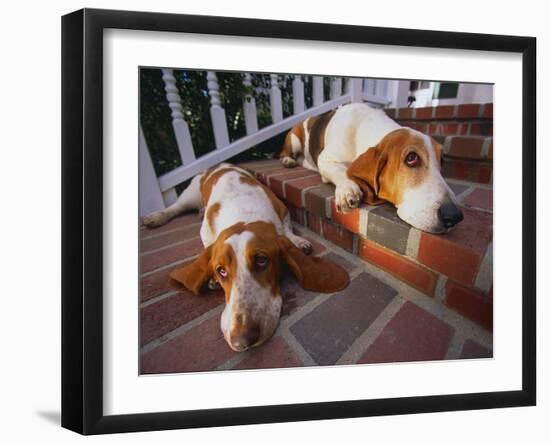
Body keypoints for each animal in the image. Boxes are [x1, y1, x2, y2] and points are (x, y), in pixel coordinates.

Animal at [142, 163, 350, 354]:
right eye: (221, 270)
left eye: (261, 260)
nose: (241, 340)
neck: (242, 215)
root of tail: (218, 165)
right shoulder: (205, 233)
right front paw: (211, 280)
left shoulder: (282, 210)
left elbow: (287, 229)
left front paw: (297, 241)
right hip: (189, 194)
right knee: (175, 208)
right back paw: (156, 217)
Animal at [280, 103, 466, 234]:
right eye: (411, 158)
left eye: (442, 160)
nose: (454, 216)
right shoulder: (325, 159)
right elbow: (341, 170)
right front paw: (348, 190)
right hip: (294, 139)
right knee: (284, 152)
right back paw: (288, 160)